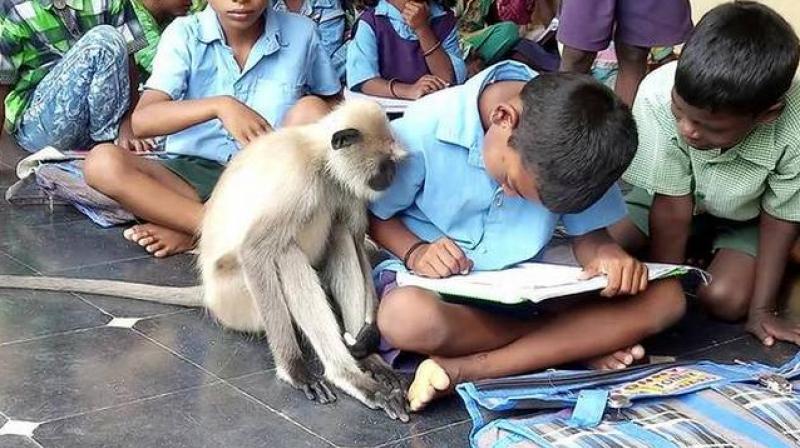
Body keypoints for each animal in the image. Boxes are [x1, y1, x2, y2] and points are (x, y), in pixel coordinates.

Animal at [0, 100, 406, 422]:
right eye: (384, 165)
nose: (391, 177)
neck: (318, 157)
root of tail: (209, 293)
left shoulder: (345, 186)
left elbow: (354, 237)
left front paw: (370, 342)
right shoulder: (298, 179)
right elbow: (256, 251)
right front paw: (296, 371)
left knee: (338, 235)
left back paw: (368, 364)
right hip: (237, 298)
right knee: (284, 252)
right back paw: (347, 375)